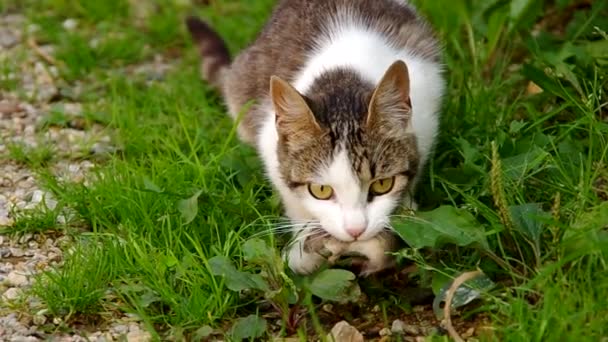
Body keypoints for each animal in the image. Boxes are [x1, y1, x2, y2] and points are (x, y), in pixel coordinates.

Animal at [185, 0, 442, 276]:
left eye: (383, 184)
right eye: (320, 190)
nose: (355, 231)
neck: (343, 77)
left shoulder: (427, 116)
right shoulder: (270, 145)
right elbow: (293, 200)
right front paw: (303, 249)